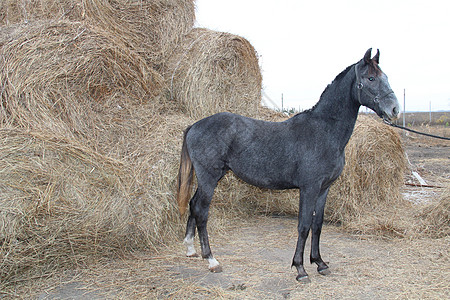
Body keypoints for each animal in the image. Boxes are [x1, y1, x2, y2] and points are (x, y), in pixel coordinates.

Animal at [176, 48, 400, 282]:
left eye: (385, 76)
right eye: (371, 78)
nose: (394, 109)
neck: (324, 131)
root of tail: (194, 125)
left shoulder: (324, 189)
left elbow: (317, 225)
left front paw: (319, 263)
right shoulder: (309, 188)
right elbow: (304, 225)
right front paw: (300, 269)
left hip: (207, 178)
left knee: (193, 204)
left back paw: (191, 249)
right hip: (209, 178)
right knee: (201, 211)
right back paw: (211, 260)